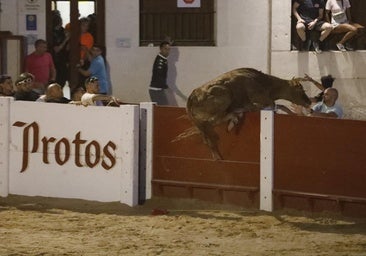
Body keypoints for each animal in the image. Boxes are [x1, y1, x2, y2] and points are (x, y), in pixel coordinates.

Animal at [177, 68, 312, 160]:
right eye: (301, 90)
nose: (309, 102)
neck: (264, 82)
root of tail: (192, 97)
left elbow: (279, 106)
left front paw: (294, 113)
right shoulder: (260, 99)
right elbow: (272, 105)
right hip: (225, 96)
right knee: (213, 121)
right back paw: (233, 119)